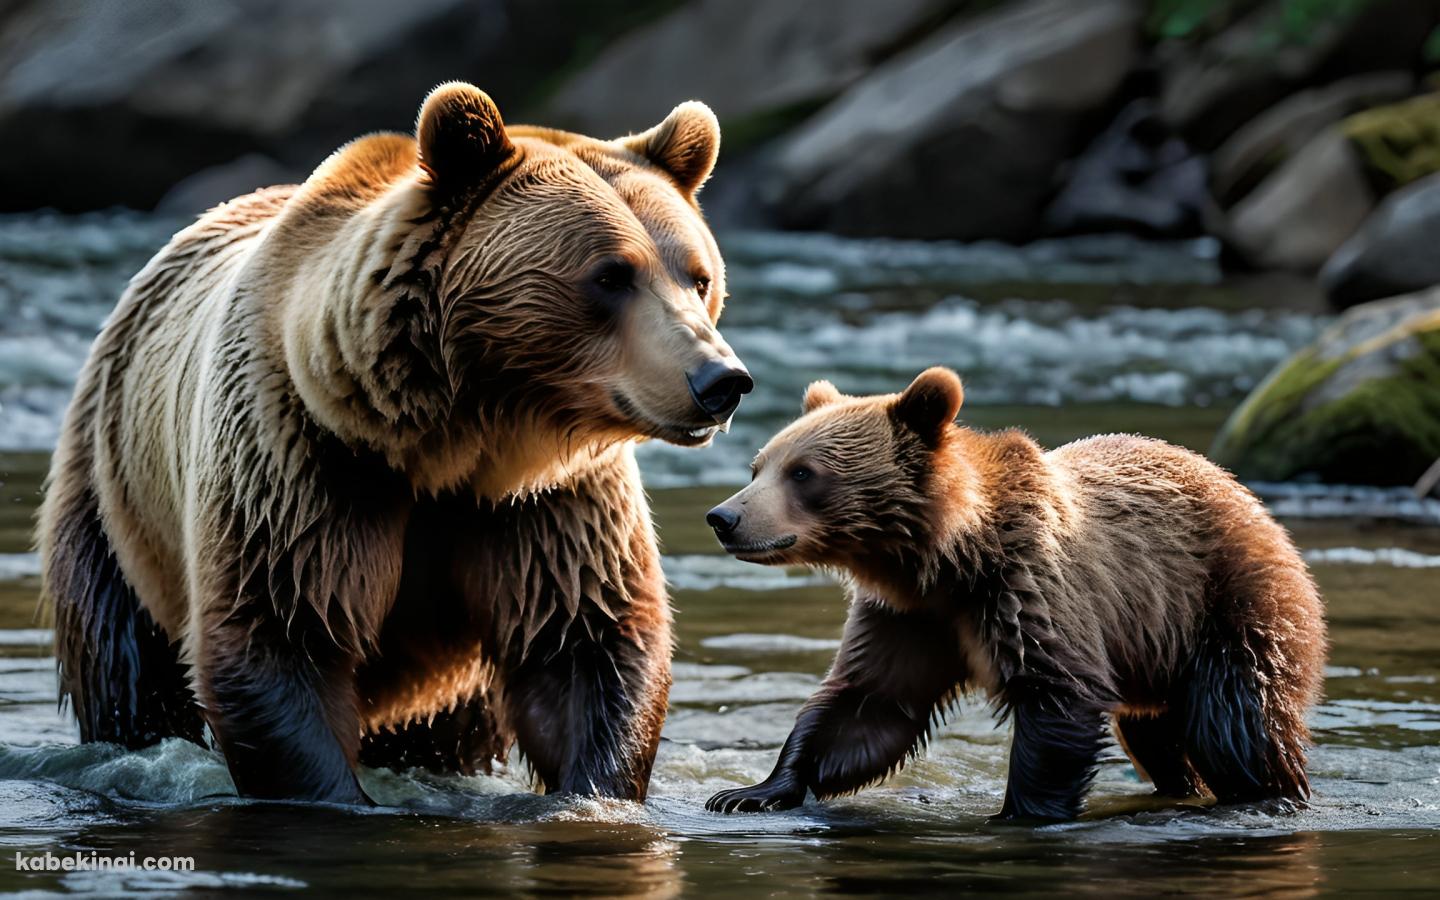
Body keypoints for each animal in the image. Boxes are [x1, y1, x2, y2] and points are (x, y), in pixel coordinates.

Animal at [37, 82, 748, 800]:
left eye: (698, 276)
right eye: (610, 275)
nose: (721, 379)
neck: (451, 441)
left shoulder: (548, 504)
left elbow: (582, 640)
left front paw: (593, 789)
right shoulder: (304, 460)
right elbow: (282, 629)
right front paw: (332, 794)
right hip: (113, 491)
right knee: (125, 663)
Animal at [702, 367, 1319, 823]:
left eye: (803, 473)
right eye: (759, 466)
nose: (724, 518)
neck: (949, 558)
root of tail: (1253, 502)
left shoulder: (1030, 592)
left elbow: (1058, 699)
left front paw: (1018, 814)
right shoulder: (909, 618)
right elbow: (868, 704)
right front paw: (749, 791)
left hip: (1225, 602)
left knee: (1235, 721)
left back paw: (1269, 791)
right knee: (1157, 736)